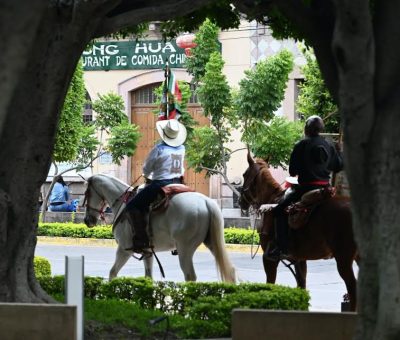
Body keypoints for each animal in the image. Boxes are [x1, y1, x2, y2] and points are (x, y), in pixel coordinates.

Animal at [83, 174, 236, 282]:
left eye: (86, 194)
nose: (87, 220)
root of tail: (205, 202)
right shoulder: (147, 251)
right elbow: (148, 277)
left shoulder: (124, 249)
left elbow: (112, 273)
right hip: (212, 242)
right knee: (230, 271)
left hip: (185, 248)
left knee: (190, 276)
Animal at [239, 153, 358, 310]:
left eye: (244, 174)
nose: (240, 202)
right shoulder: (299, 260)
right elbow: (301, 286)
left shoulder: (269, 259)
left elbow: (270, 283)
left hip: (343, 258)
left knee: (353, 288)